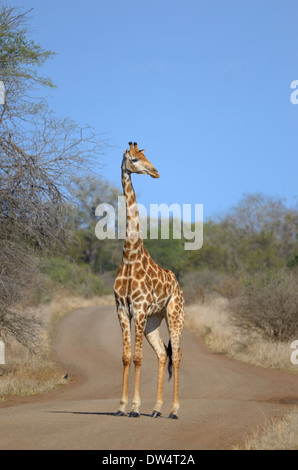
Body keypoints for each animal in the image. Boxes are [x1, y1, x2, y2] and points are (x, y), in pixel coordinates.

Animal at [113, 140, 184, 418]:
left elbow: (137, 358)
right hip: (155, 320)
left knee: (177, 355)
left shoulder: (140, 309)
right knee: (163, 355)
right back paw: (155, 409)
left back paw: (174, 410)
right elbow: (125, 357)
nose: (155, 172)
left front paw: (133, 407)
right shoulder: (123, 309)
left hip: (175, 316)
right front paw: (121, 407)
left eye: (145, 156)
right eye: (133, 159)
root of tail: (179, 286)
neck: (130, 256)